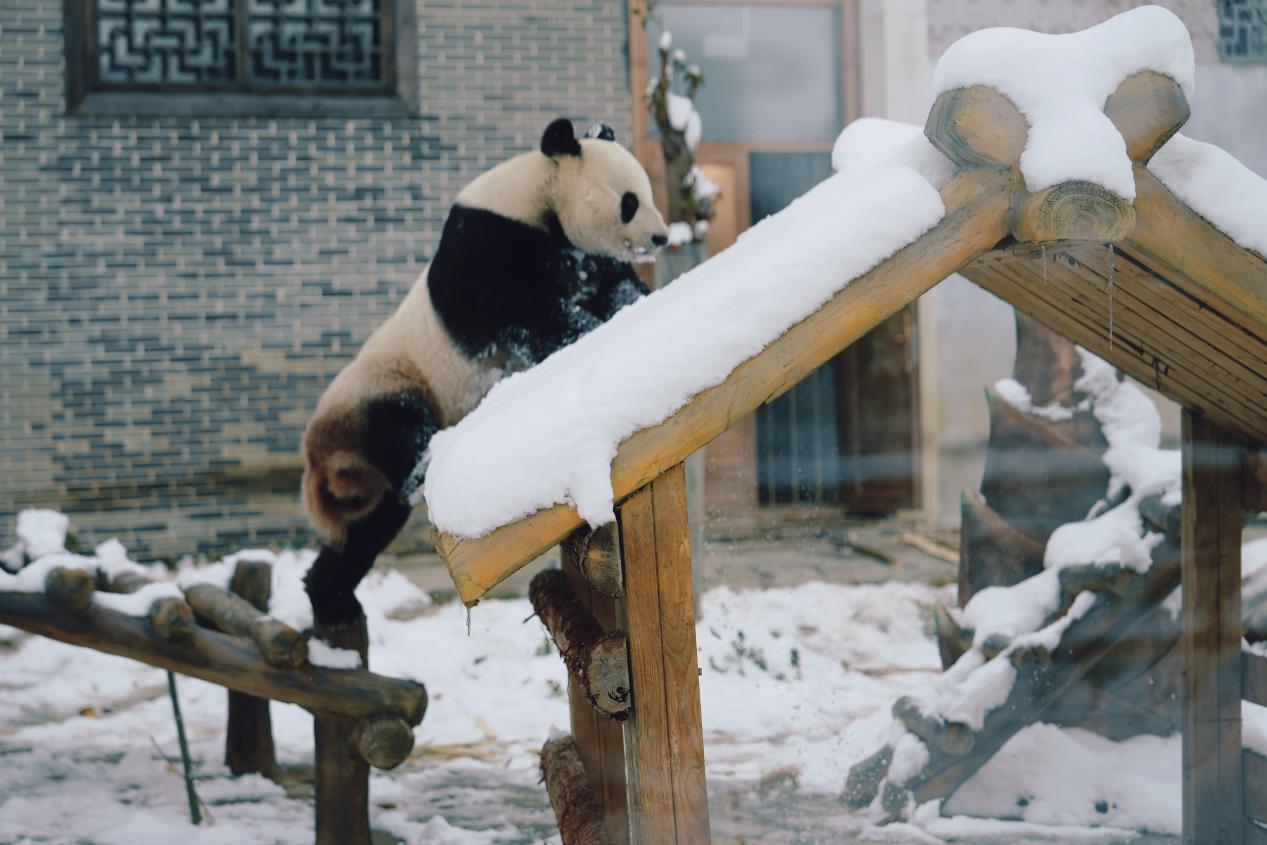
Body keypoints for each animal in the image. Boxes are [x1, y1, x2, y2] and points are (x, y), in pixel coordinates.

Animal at [302, 120, 674, 633]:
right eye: (629, 201)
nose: (660, 237)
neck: (538, 194)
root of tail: (319, 458)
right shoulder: (487, 249)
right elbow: (531, 318)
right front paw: (589, 328)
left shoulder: (575, 254)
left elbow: (612, 284)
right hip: (382, 387)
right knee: (401, 430)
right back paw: (422, 468)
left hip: (364, 475)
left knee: (365, 530)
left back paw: (331, 600)